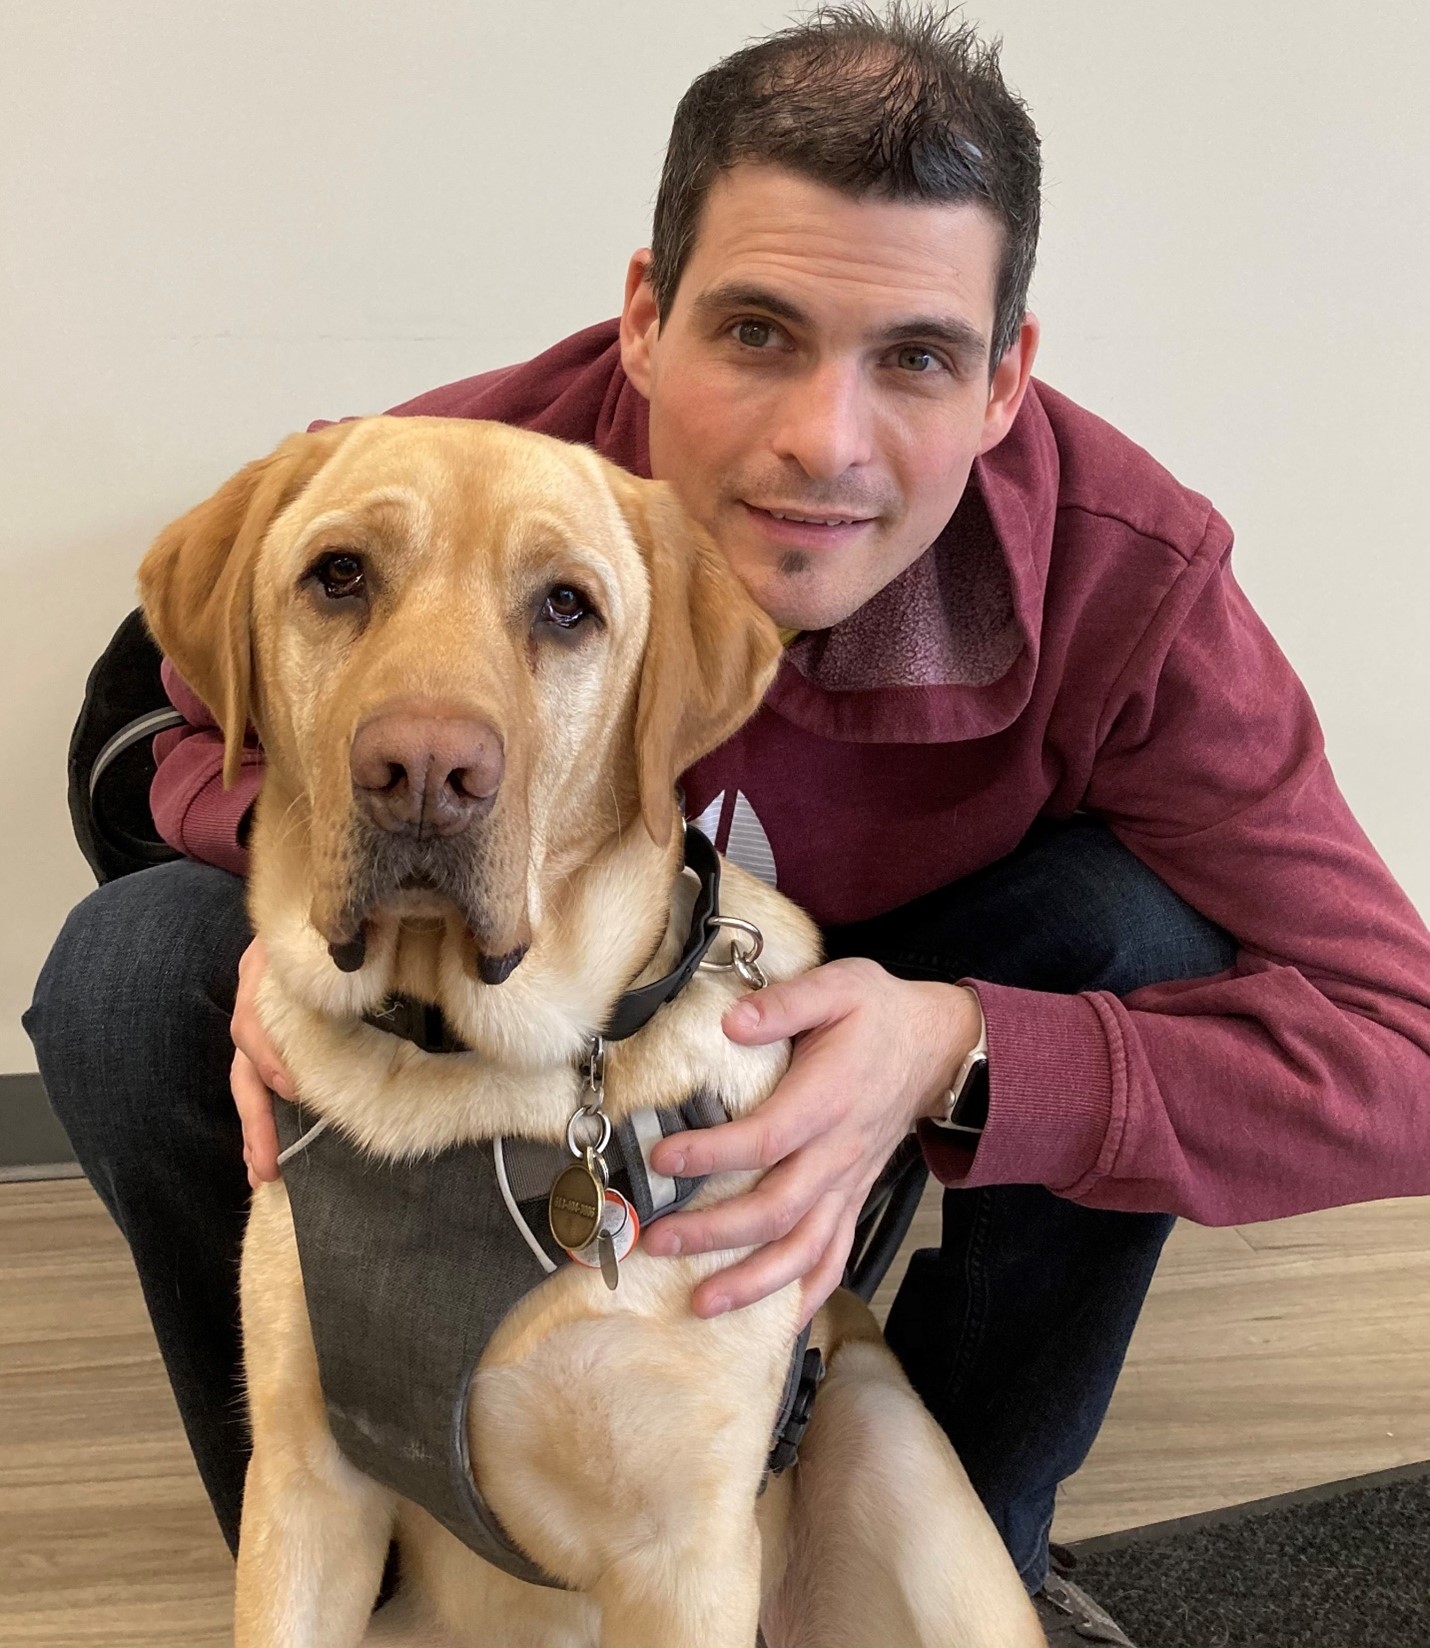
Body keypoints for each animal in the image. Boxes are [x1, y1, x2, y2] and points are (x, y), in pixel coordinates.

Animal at [136, 421, 1041, 1648]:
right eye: (339, 575)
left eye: (567, 607)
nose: (425, 772)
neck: (458, 1068)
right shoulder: (304, 1482)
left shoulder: (687, 1560)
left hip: (891, 1449)